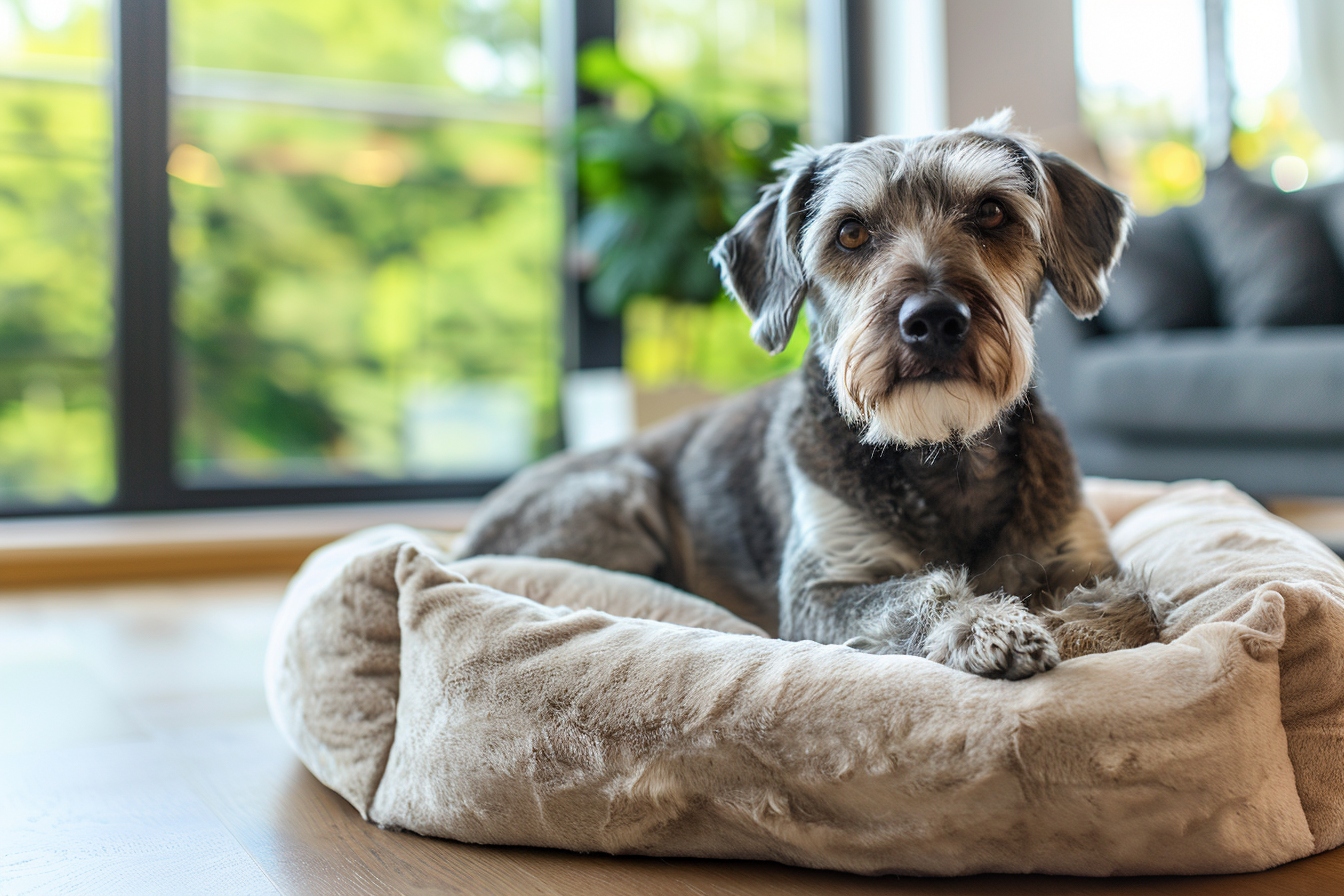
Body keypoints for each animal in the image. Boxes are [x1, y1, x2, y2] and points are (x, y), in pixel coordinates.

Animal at [459, 115, 1166, 682]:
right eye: (849, 233)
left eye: (992, 212)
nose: (934, 319)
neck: (943, 455)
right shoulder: (821, 590)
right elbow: (918, 592)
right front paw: (989, 626)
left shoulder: (1088, 558)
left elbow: (1133, 609)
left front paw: (1051, 620)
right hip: (620, 488)